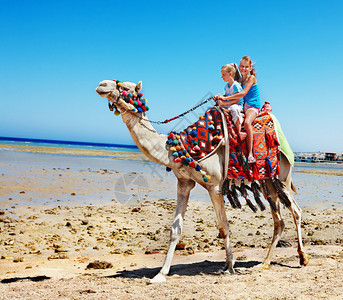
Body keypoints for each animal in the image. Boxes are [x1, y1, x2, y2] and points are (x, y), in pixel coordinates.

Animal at [95, 78, 310, 282]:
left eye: (127, 88)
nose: (101, 84)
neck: (182, 147)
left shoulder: (214, 186)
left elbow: (224, 226)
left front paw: (229, 266)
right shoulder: (183, 183)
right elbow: (175, 229)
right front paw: (160, 274)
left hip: (283, 174)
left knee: (296, 211)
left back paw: (302, 257)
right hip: (268, 181)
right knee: (279, 221)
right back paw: (265, 263)